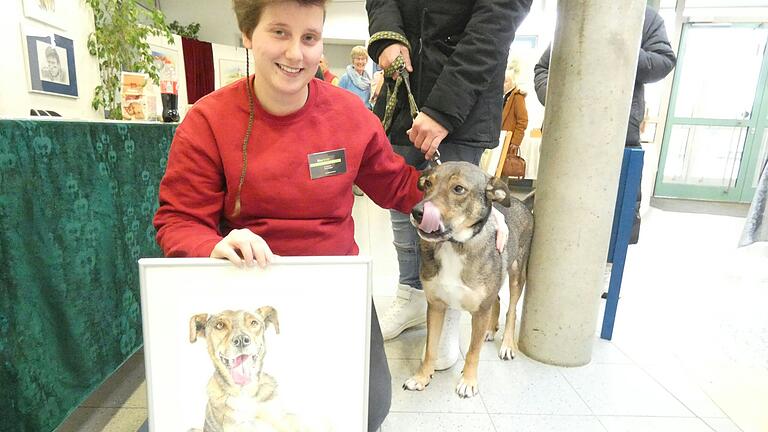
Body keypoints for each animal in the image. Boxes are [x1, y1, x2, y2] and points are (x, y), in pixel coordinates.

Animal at [402, 161, 536, 398]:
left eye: (458, 189)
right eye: (427, 184)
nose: (417, 212)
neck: (454, 245)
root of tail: (521, 202)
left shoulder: (480, 311)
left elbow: (474, 352)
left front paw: (468, 381)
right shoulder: (435, 306)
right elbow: (431, 348)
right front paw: (421, 377)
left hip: (517, 274)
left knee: (511, 309)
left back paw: (507, 344)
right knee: (497, 300)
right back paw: (490, 331)